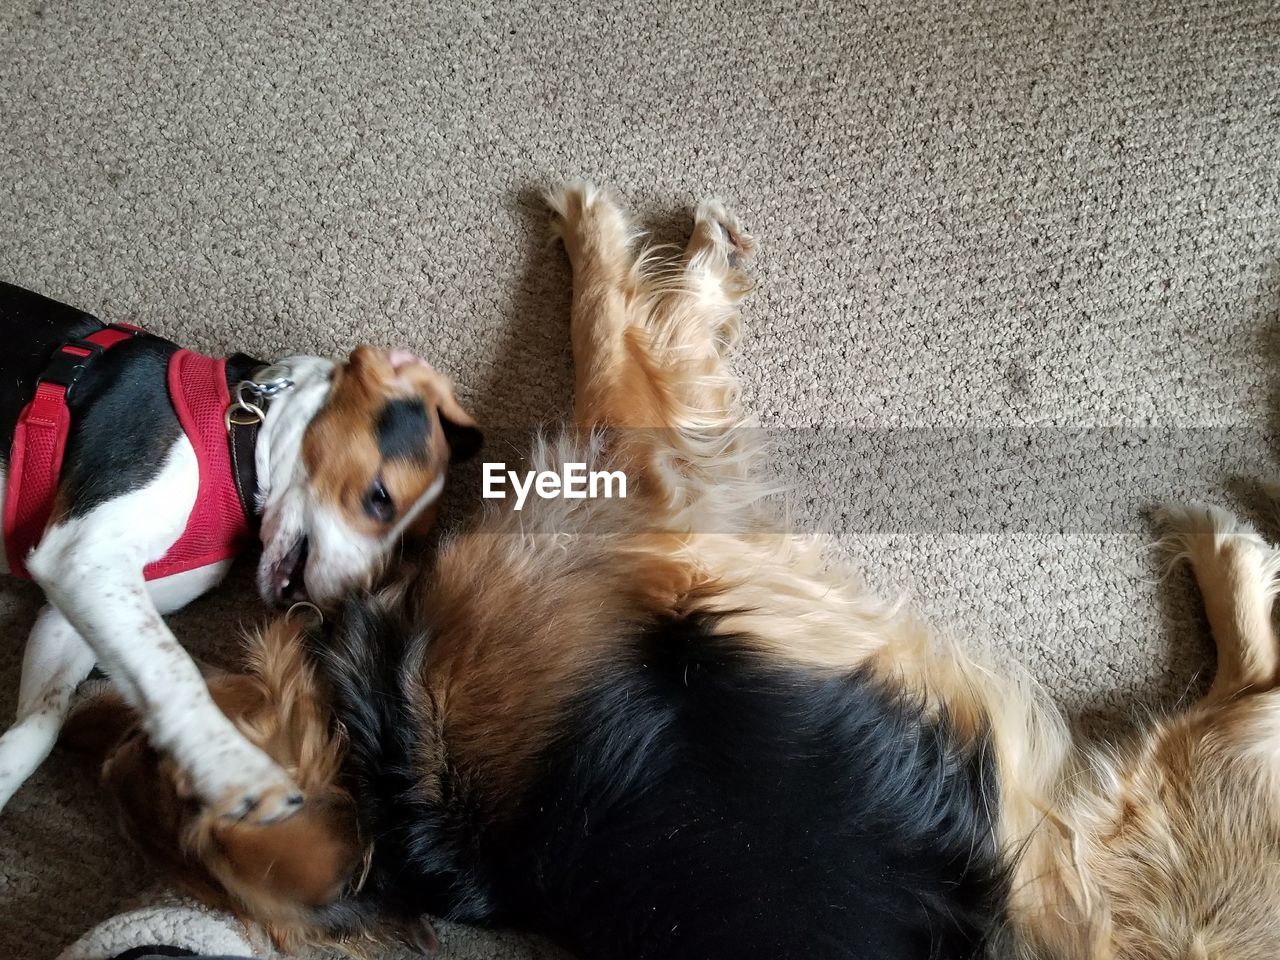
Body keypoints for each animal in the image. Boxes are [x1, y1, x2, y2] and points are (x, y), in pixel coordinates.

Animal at [1, 280, 481, 829]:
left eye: (413, 541)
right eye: (380, 498)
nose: (349, 611)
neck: (236, 431)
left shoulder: (69, 612)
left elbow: (40, 726)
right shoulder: (83, 555)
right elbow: (171, 671)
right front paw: (237, 772)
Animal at [67, 184, 1280, 957]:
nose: (85, 695)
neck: (380, 751)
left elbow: (608, 330)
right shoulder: (634, 483)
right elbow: (608, 327)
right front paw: (613, 240)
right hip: (1123, 818)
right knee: (1249, 699)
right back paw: (1221, 548)